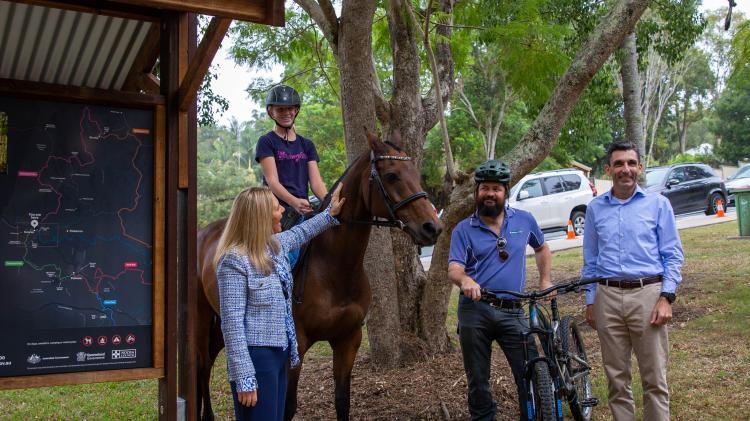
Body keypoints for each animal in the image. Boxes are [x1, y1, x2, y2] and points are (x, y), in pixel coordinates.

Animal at [194, 130, 444, 418]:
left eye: (415, 173)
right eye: (392, 175)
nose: (432, 227)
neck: (335, 268)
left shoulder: (348, 339)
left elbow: (342, 401)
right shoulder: (296, 346)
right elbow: (287, 407)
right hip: (203, 318)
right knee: (202, 364)